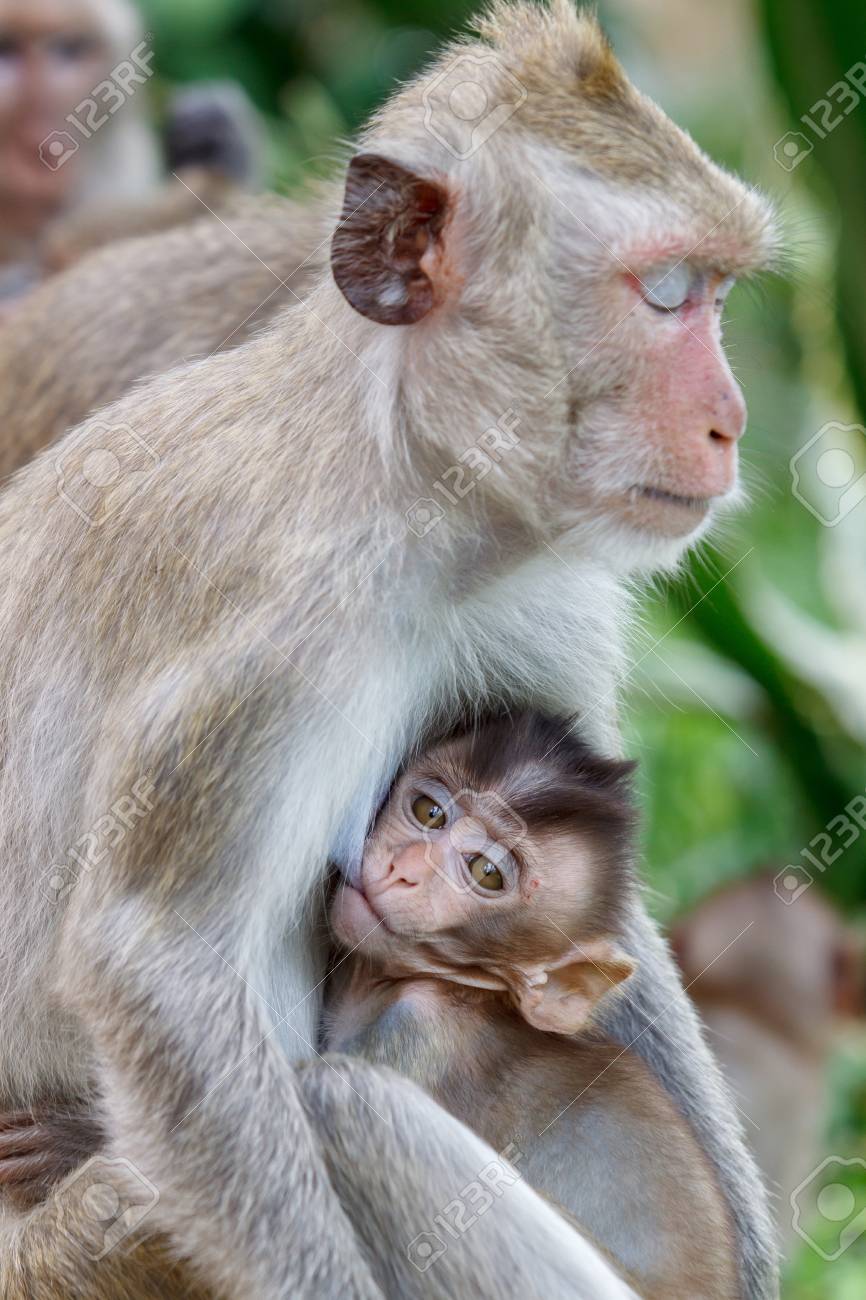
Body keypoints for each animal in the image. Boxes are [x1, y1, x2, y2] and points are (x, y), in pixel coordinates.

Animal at [0, 4, 779, 1298]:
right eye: (666, 292)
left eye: (717, 293)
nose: (729, 423)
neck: (401, 474)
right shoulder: (271, 635)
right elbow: (156, 967)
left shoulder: (531, 588)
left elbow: (600, 905)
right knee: (347, 1114)